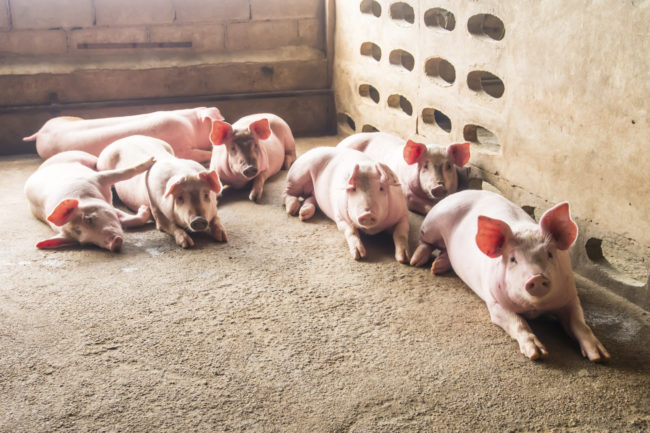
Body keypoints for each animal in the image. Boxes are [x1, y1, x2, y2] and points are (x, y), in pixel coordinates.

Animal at [24, 150, 155, 252]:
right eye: (86, 242)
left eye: (88, 219)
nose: (114, 244)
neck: (85, 196)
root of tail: (41, 166)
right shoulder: (105, 204)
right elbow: (127, 219)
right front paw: (145, 209)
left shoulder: (97, 178)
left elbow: (124, 173)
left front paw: (152, 160)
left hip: (82, 156)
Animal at [97, 135, 227, 248]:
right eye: (180, 198)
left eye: (206, 195)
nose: (198, 219)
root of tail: (124, 138)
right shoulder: (155, 208)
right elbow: (169, 226)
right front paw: (187, 244)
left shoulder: (214, 208)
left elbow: (216, 219)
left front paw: (223, 238)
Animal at [338, 132, 470, 214]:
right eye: (425, 166)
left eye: (449, 166)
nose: (439, 186)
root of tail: (343, 141)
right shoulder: (407, 194)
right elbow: (423, 205)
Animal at [410, 189, 610, 361]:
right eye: (513, 259)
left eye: (550, 254)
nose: (537, 277)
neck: (534, 309)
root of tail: (460, 192)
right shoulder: (494, 302)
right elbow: (518, 323)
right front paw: (537, 354)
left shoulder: (570, 296)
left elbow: (579, 321)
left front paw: (601, 356)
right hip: (431, 225)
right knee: (425, 242)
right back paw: (417, 262)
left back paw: (437, 266)